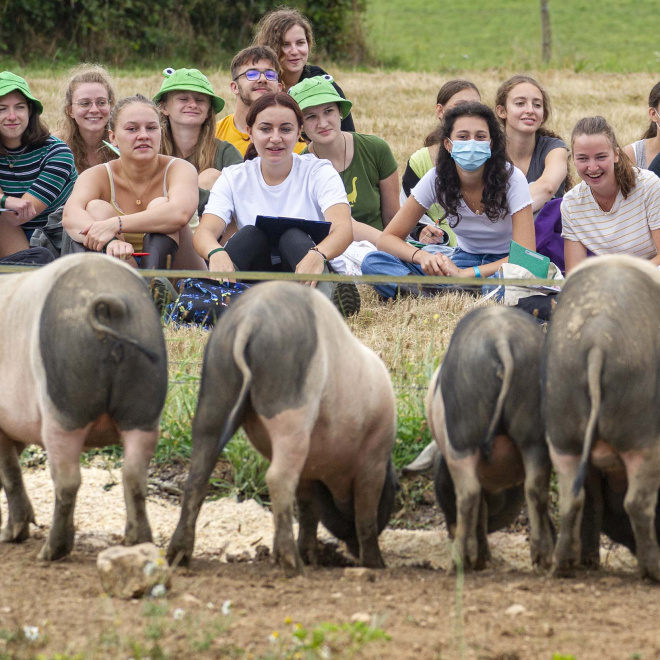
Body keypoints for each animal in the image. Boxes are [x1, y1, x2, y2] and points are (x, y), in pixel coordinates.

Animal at [0, 255, 168, 560]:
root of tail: (110, 302)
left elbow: (10, 474)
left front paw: (10, 536)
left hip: (63, 409)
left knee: (67, 482)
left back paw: (49, 552)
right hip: (145, 405)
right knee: (134, 476)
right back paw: (137, 542)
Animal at [170, 282, 398, 576]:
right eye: (395, 490)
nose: (352, 553)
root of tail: (251, 319)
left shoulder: (309, 470)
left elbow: (308, 509)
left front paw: (312, 556)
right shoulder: (373, 461)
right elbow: (365, 515)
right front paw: (377, 565)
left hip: (215, 389)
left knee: (198, 473)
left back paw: (178, 557)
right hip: (290, 406)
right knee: (277, 477)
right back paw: (292, 564)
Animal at [426, 306, 556, 568]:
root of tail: (501, 339)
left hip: (463, 434)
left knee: (468, 495)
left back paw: (461, 561)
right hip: (533, 430)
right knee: (536, 490)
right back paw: (542, 560)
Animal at [544, 255, 660, 580]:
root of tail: (598, 338)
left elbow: (594, 501)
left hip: (561, 425)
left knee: (574, 498)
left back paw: (565, 566)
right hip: (643, 436)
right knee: (637, 502)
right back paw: (654, 572)